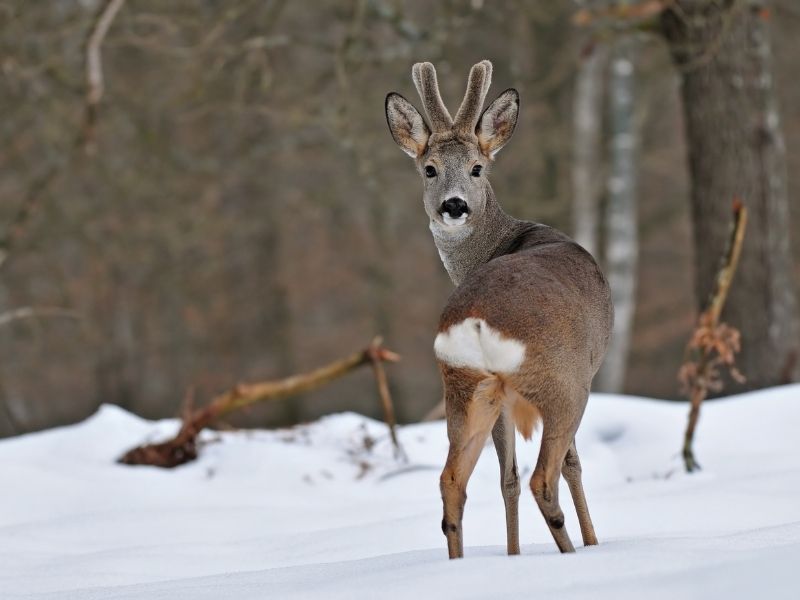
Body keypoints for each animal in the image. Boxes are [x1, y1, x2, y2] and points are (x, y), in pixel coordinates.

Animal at [386, 61, 612, 556]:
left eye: (476, 167)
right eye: (429, 169)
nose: (454, 205)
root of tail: (476, 320)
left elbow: (504, 477)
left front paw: (514, 554)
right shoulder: (583, 371)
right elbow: (573, 465)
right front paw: (593, 542)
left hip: (467, 387)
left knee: (454, 480)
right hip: (561, 383)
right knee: (544, 477)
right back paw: (572, 551)